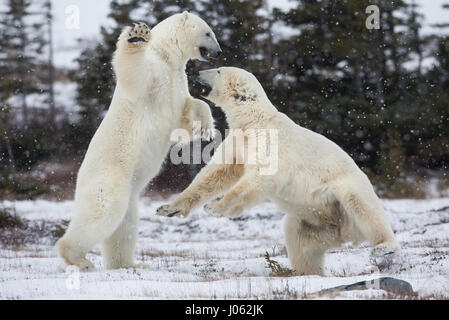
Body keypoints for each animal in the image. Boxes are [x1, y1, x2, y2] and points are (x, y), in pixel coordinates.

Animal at [57, 13, 221, 272]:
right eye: (208, 33)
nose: (219, 52)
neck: (168, 56)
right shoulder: (155, 73)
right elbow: (136, 75)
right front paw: (137, 35)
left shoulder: (177, 81)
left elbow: (188, 110)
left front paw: (205, 129)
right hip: (109, 178)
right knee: (101, 212)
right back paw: (79, 259)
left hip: (130, 195)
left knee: (124, 226)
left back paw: (128, 264)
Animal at [157, 67, 400, 276]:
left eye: (218, 70)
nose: (197, 71)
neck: (254, 120)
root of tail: (347, 234)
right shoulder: (238, 141)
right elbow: (216, 174)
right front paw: (168, 208)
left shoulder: (270, 143)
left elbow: (259, 177)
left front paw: (215, 207)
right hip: (318, 223)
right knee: (299, 240)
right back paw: (307, 273)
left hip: (345, 190)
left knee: (362, 206)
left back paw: (384, 246)